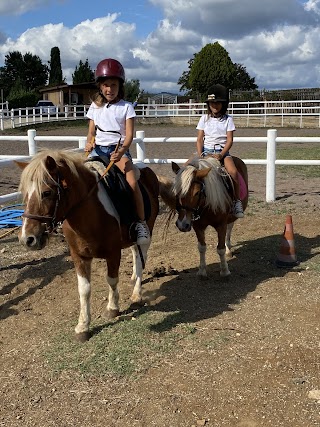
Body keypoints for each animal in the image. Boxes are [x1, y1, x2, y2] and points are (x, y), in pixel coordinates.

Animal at [16, 149, 159, 342]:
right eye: (24, 194)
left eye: (46, 193)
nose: (27, 239)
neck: (91, 213)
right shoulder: (79, 255)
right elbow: (84, 289)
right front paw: (82, 326)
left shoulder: (113, 253)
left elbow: (111, 279)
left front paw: (112, 309)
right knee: (136, 254)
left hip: (147, 229)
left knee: (141, 257)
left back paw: (137, 294)